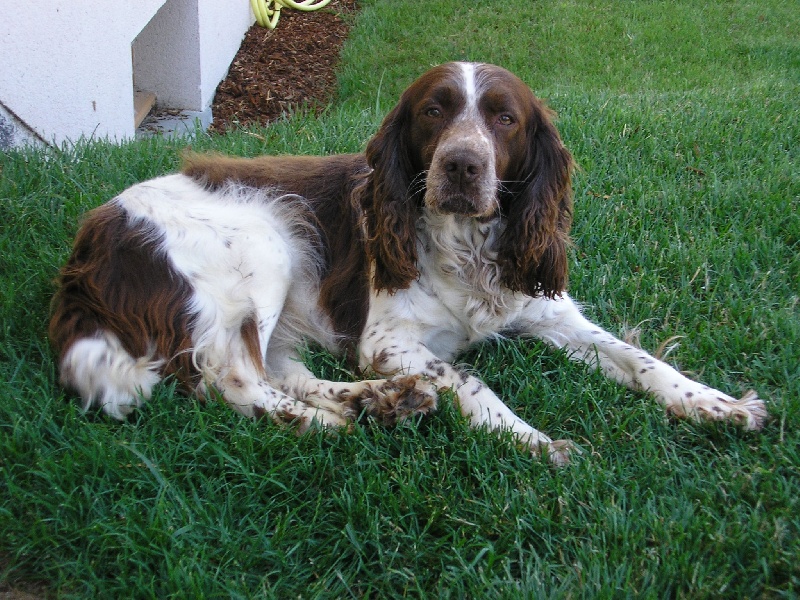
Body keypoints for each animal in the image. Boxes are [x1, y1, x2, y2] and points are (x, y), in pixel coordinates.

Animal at [49, 62, 766, 464]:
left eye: (505, 119)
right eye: (433, 111)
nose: (462, 165)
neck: (469, 250)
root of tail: (89, 244)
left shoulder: (553, 315)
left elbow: (642, 361)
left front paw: (718, 404)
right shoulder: (386, 340)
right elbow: (470, 380)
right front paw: (531, 440)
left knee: (283, 372)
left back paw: (378, 402)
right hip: (264, 244)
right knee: (235, 382)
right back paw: (338, 423)